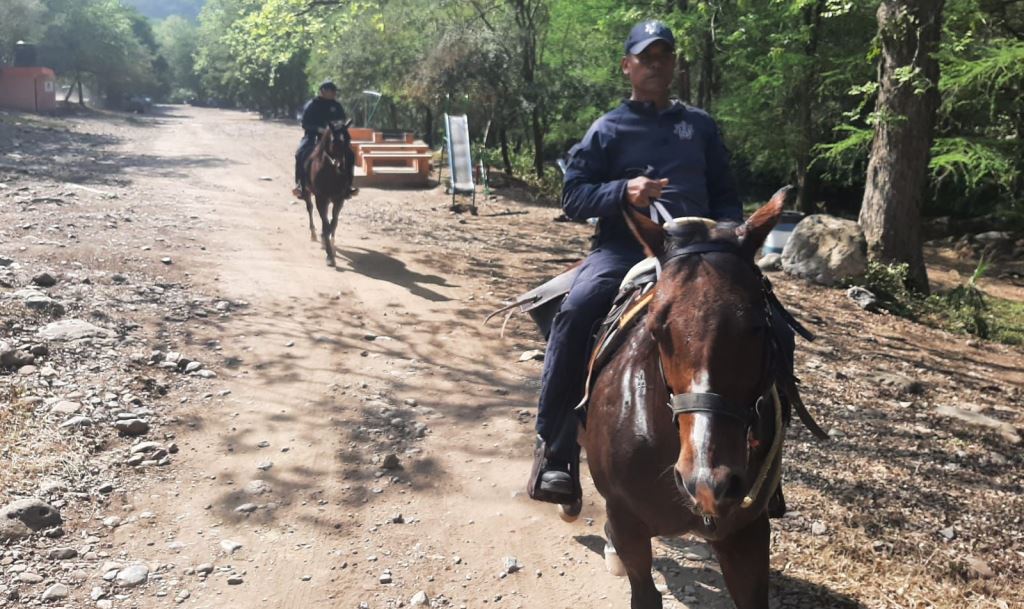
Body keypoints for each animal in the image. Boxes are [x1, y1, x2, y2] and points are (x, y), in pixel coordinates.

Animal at [301, 121, 354, 266]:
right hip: (307, 193)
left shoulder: (339, 199)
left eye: (348, 139)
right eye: (334, 140)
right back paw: (314, 234)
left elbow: (333, 223)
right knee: (310, 209)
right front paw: (329, 256)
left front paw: (330, 245)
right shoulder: (321, 199)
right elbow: (326, 225)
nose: (342, 167)